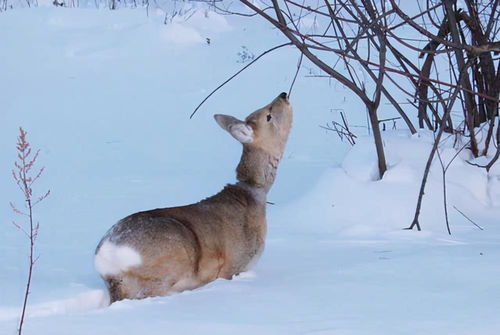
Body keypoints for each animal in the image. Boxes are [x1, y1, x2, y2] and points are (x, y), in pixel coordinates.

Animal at [95, 93, 292, 304]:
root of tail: (107, 260)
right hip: (167, 264)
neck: (252, 193)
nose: (283, 95)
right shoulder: (234, 263)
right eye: (268, 116)